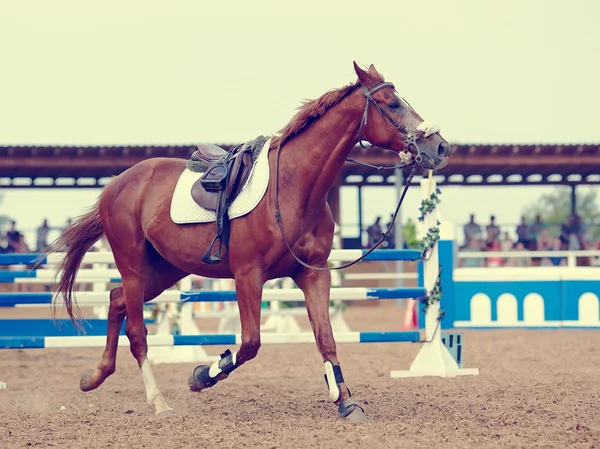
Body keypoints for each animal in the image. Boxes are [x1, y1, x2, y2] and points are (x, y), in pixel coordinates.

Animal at [48, 62, 450, 420]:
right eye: (393, 104)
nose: (441, 147)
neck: (293, 187)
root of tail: (117, 184)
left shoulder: (314, 275)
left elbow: (326, 337)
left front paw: (345, 401)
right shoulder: (248, 276)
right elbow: (250, 343)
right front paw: (202, 376)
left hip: (166, 270)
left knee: (116, 301)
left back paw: (94, 377)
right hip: (134, 266)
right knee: (136, 331)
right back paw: (158, 402)